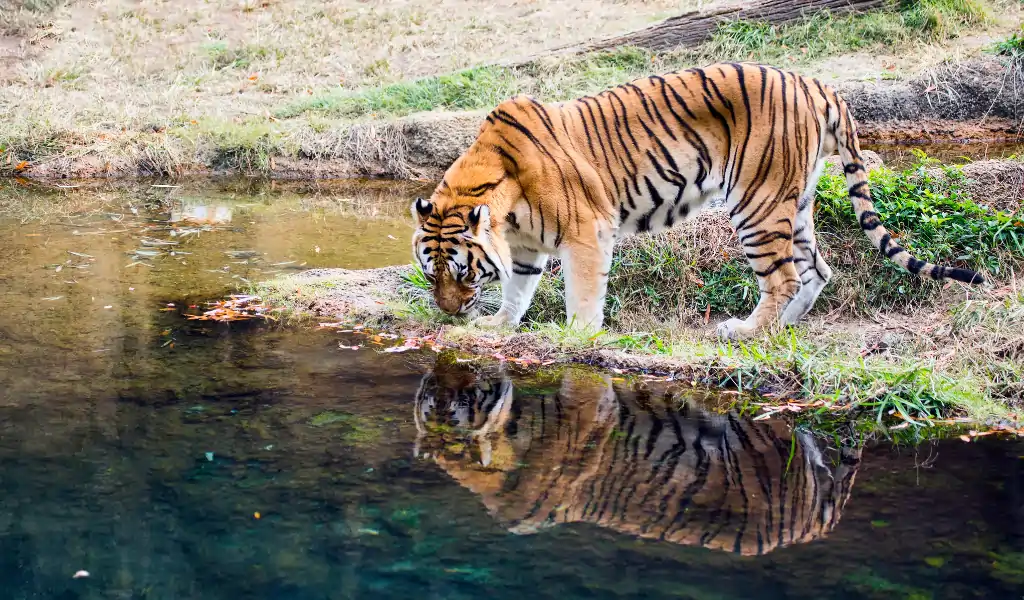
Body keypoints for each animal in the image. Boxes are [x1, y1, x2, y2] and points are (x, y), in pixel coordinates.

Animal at [411, 63, 984, 340]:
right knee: (817, 269)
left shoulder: (586, 232)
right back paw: (781, 328)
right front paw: (498, 326)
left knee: (784, 276)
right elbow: (517, 291)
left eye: (464, 271)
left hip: (757, 203)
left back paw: (746, 331)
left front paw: (578, 335)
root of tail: (815, 82)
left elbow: (583, 293)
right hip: (794, 203)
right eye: (430, 272)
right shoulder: (526, 247)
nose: (448, 314)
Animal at [413, 363, 863, 556]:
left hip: (756, 442)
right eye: (427, 399)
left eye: (460, 400)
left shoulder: (590, 410)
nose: (438, 392)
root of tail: (805, 529)